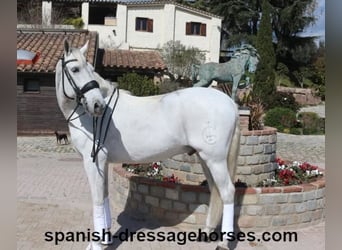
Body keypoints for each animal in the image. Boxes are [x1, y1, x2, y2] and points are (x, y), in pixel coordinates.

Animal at [54, 40, 239, 249]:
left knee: (227, 192)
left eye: (91, 69)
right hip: (204, 158)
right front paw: (104, 240)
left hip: (215, 159)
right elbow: (105, 196)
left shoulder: (93, 162)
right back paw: (207, 231)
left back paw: (223, 242)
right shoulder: (103, 163)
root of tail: (230, 103)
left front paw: (97, 244)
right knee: (215, 190)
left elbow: (98, 200)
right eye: (75, 69)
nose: (97, 105)